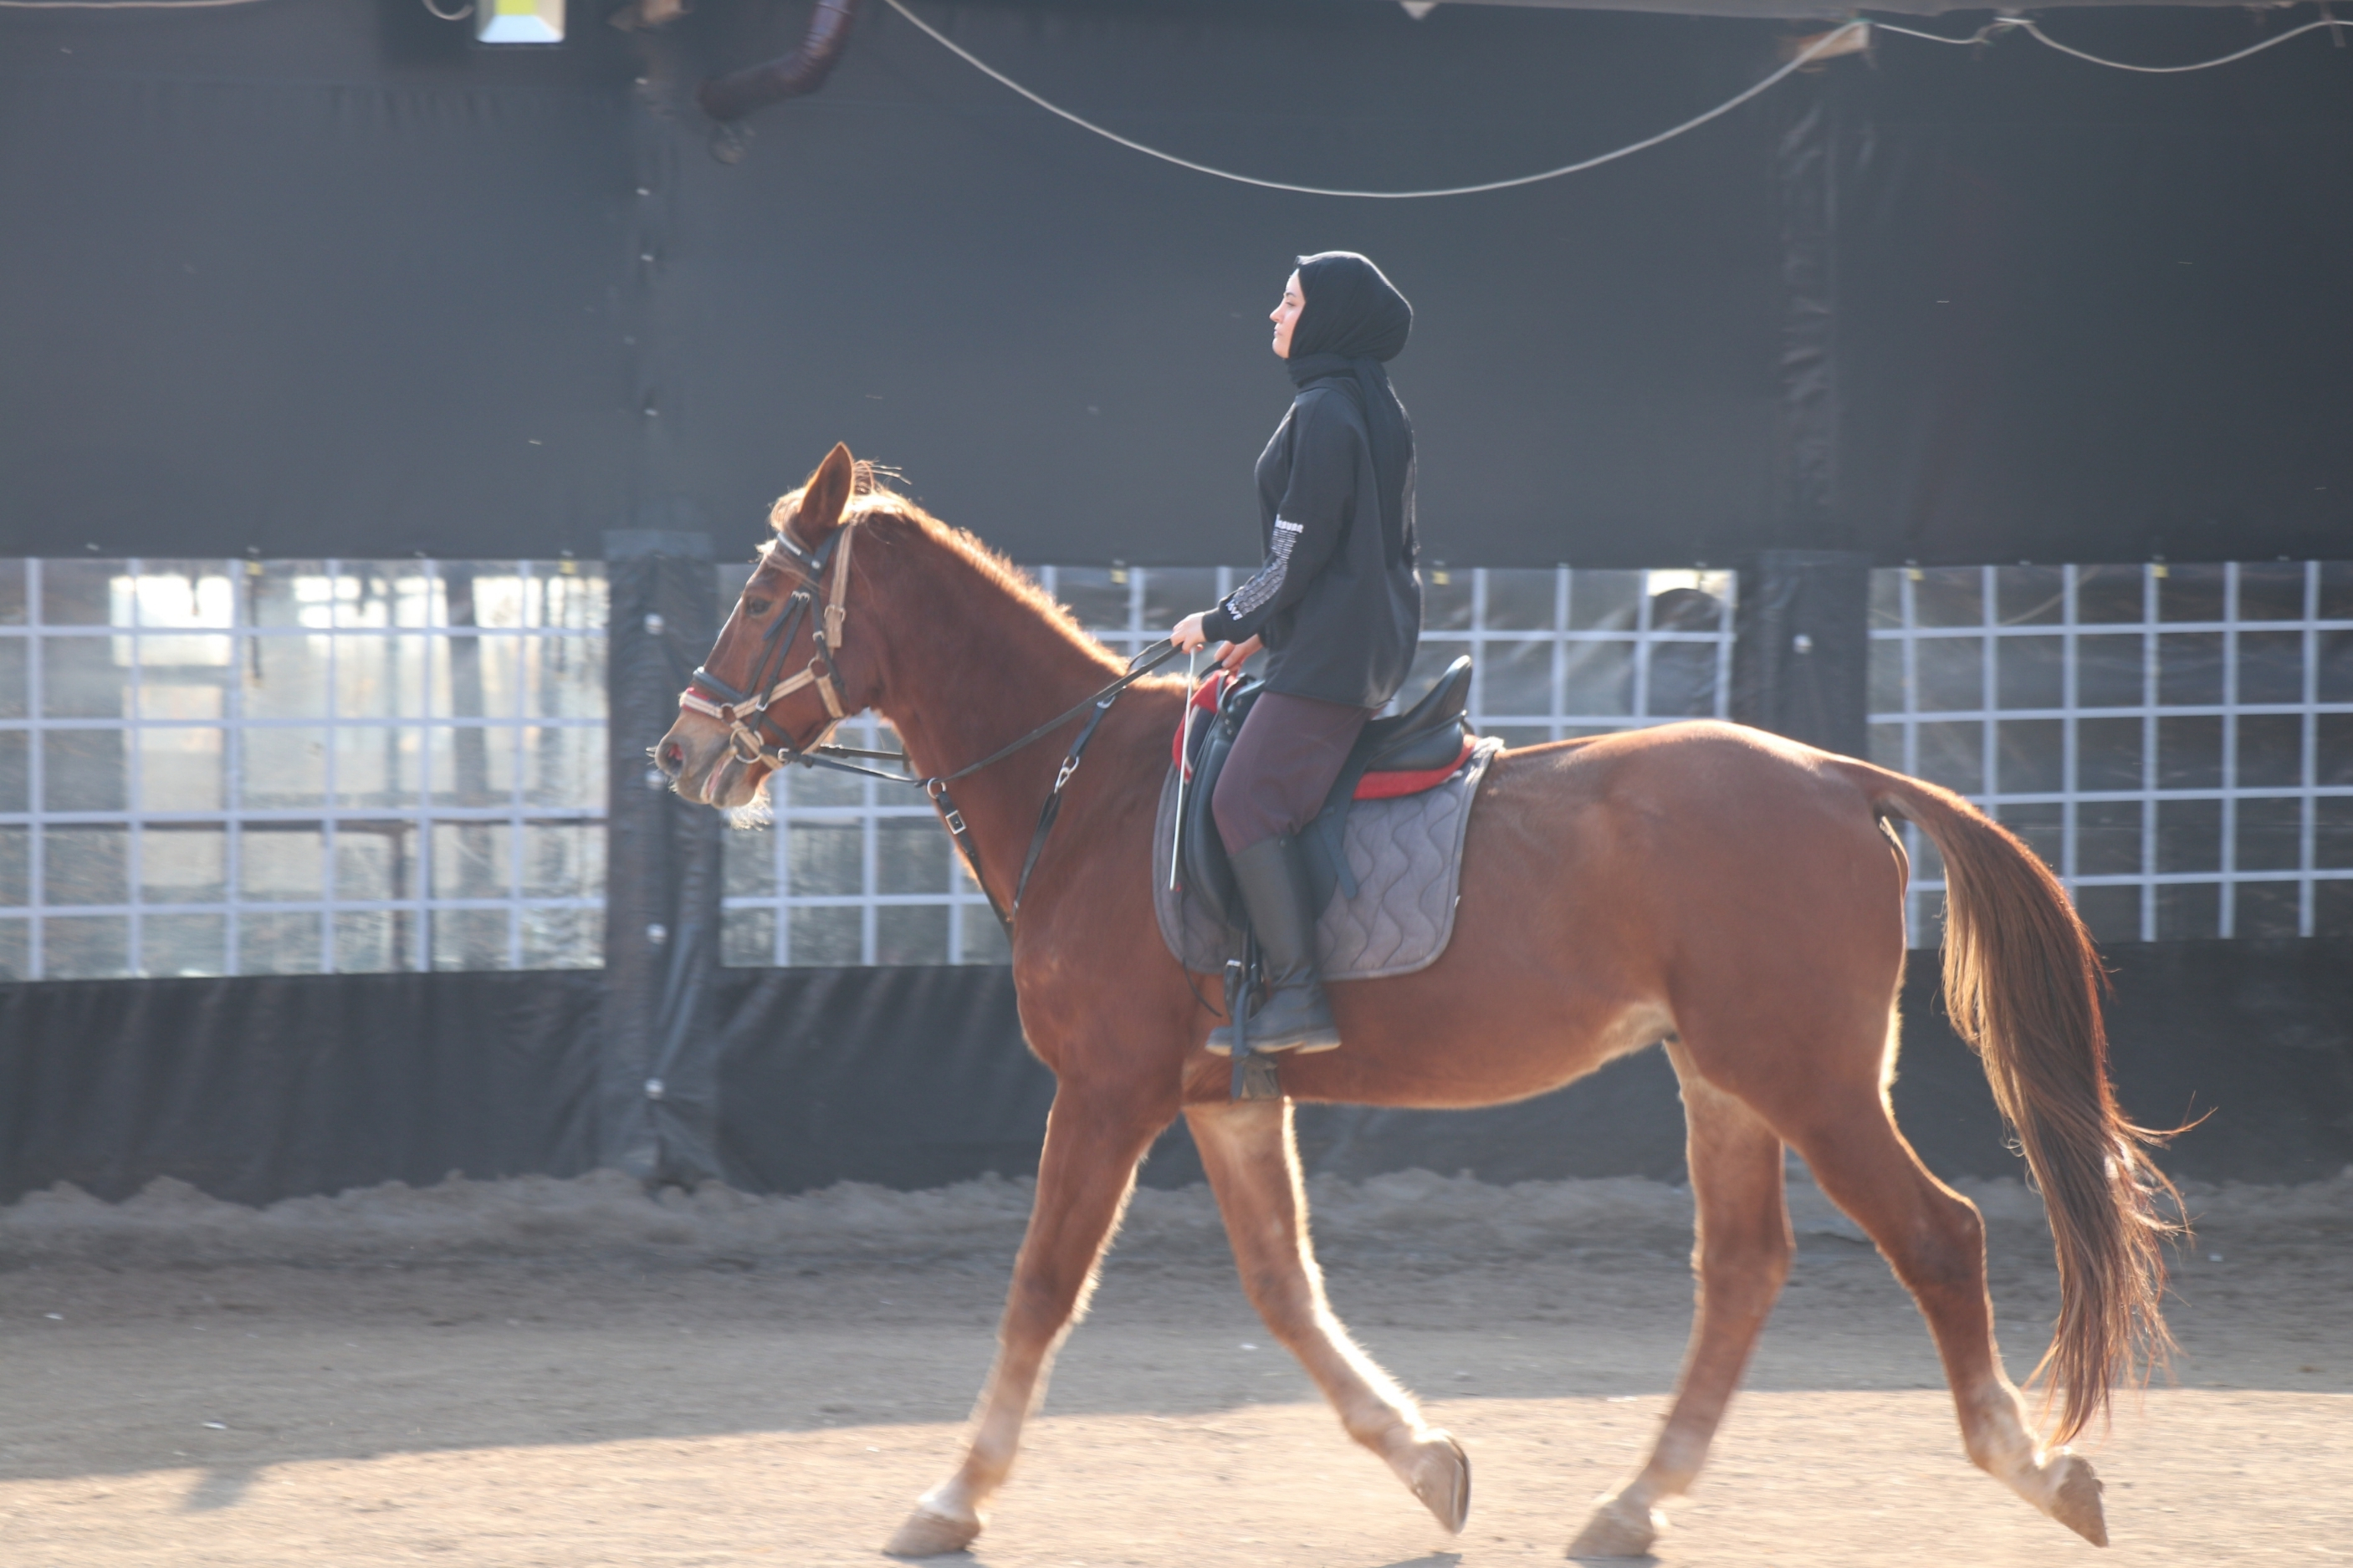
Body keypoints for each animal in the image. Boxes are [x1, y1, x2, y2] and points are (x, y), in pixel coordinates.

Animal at [654, 447, 2174, 1560]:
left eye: (766, 600)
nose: (676, 750)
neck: (1089, 793)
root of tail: (1832, 773)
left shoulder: (1106, 1092)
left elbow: (1039, 1288)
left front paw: (949, 1497)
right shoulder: (1220, 1101)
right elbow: (1283, 1290)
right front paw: (1428, 1458)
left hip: (1803, 1074)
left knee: (1938, 1234)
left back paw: (2034, 1469)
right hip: (1724, 1077)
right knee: (1742, 1270)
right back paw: (1629, 1507)